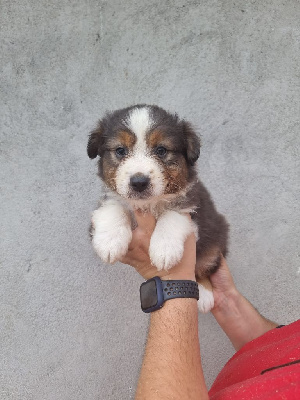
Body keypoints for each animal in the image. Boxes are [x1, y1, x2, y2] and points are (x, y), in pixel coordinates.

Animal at [88, 103, 229, 312]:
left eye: (161, 150)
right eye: (120, 150)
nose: (139, 182)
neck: (147, 204)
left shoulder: (192, 204)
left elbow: (171, 215)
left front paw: (164, 250)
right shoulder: (109, 199)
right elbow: (113, 208)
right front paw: (109, 242)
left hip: (214, 243)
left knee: (204, 267)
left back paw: (204, 294)